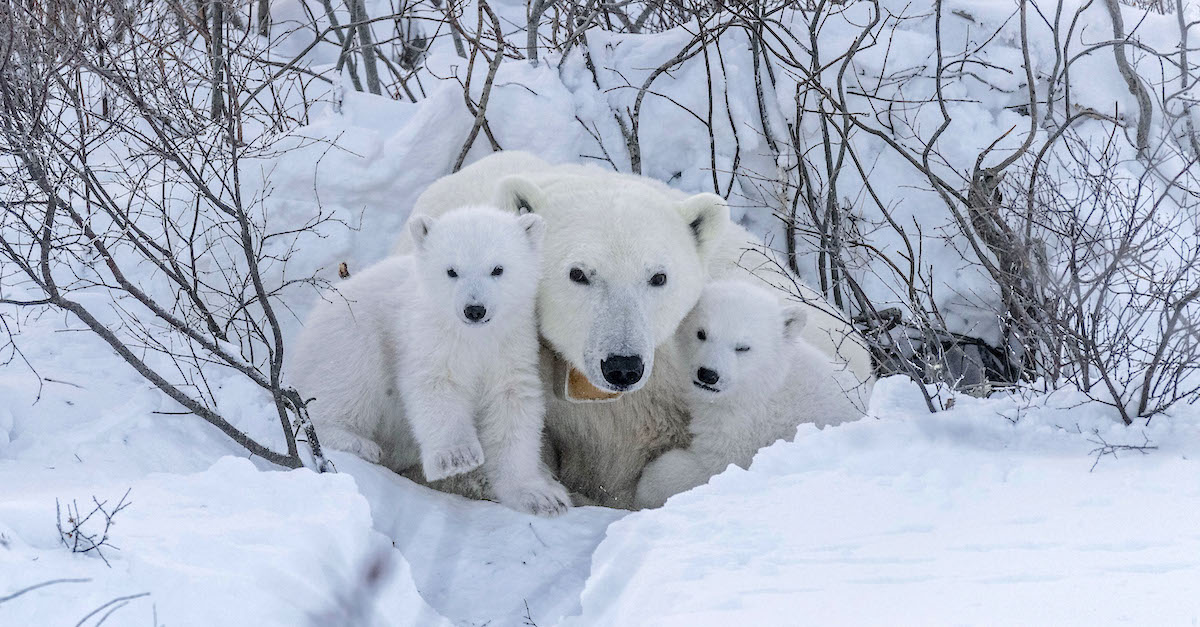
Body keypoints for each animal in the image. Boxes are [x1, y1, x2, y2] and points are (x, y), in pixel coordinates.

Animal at [291, 207, 571, 514]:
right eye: (452, 271)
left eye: (497, 269)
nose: (475, 309)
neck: (474, 337)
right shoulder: (428, 335)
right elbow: (436, 386)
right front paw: (458, 457)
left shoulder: (511, 346)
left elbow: (512, 406)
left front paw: (542, 497)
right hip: (350, 336)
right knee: (347, 382)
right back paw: (356, 442)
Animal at [638, 281, 864, 504]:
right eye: (701, 333)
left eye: (742, 347)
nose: (708, 374)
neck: (768, 384)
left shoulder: (747, 427)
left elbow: (713, 467)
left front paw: (646, 485)